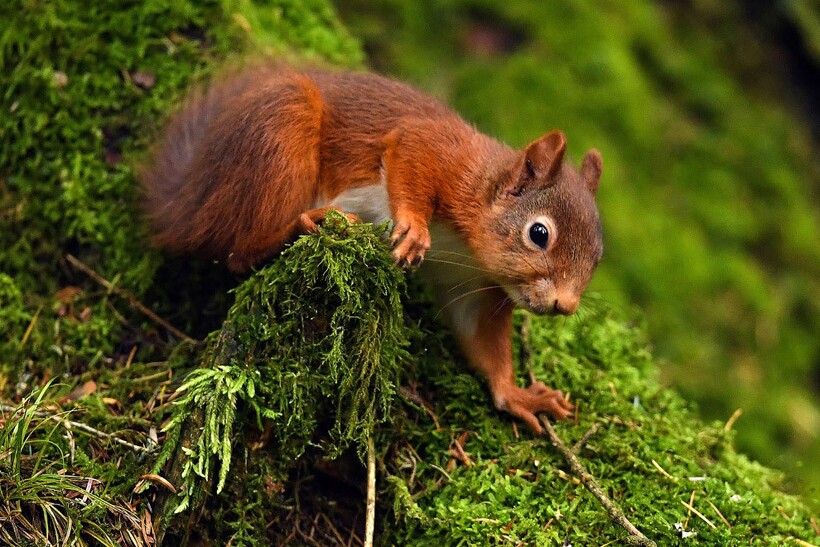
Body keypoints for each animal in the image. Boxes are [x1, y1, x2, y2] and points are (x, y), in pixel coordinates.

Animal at [141, 64, 604, 434]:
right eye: (539, 234)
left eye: (597, 257)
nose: (566, 305)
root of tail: (192, 201)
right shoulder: (441, 154)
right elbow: (412, 158)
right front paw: (414, 228)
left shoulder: (471, 284)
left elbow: (481, 338)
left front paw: (517, 394)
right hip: (281, 131)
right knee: (242, 251)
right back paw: (308, 222)